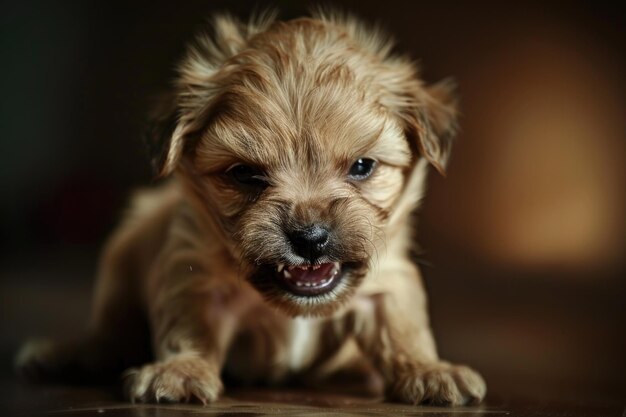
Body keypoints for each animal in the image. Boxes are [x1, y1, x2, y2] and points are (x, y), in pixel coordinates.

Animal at [13, 10, 482, 406]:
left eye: (362, 166)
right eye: (245, 174)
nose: (310, 238)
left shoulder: (389, 279)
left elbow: (402, 328)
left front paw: (429, 370)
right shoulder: (193, 270)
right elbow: (189, 326)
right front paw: (181, 370)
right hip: (122, 255)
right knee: (111, 330)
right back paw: (69, 352)